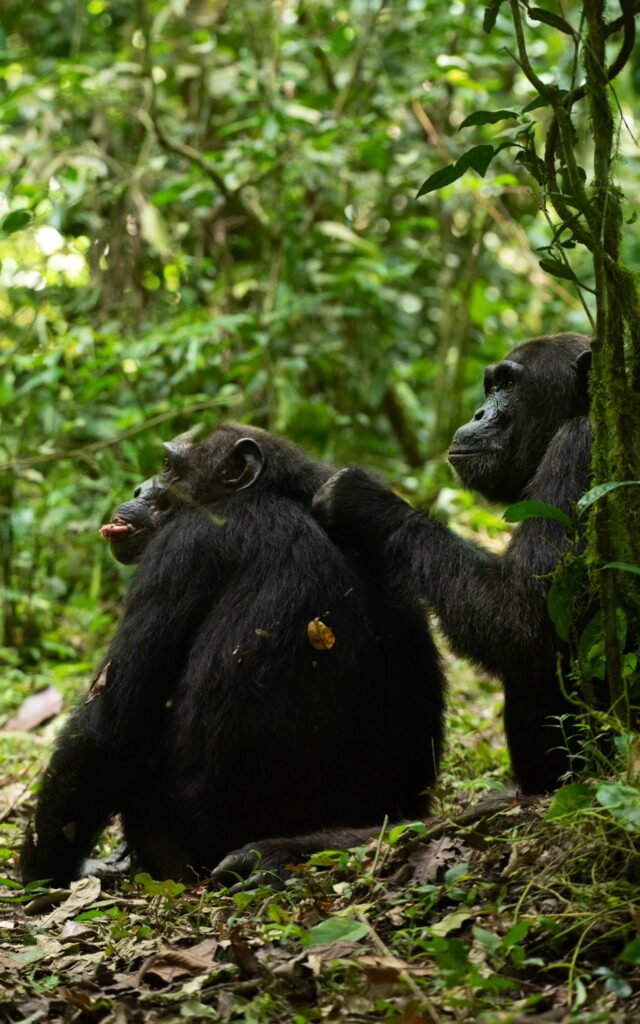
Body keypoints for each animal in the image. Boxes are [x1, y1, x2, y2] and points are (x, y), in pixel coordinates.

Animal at [311, 335, 589, 790]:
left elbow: (521, 619)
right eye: (491, 386)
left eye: (509, 385)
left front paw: (364, 502)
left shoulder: (574, 453)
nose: (479, 413)